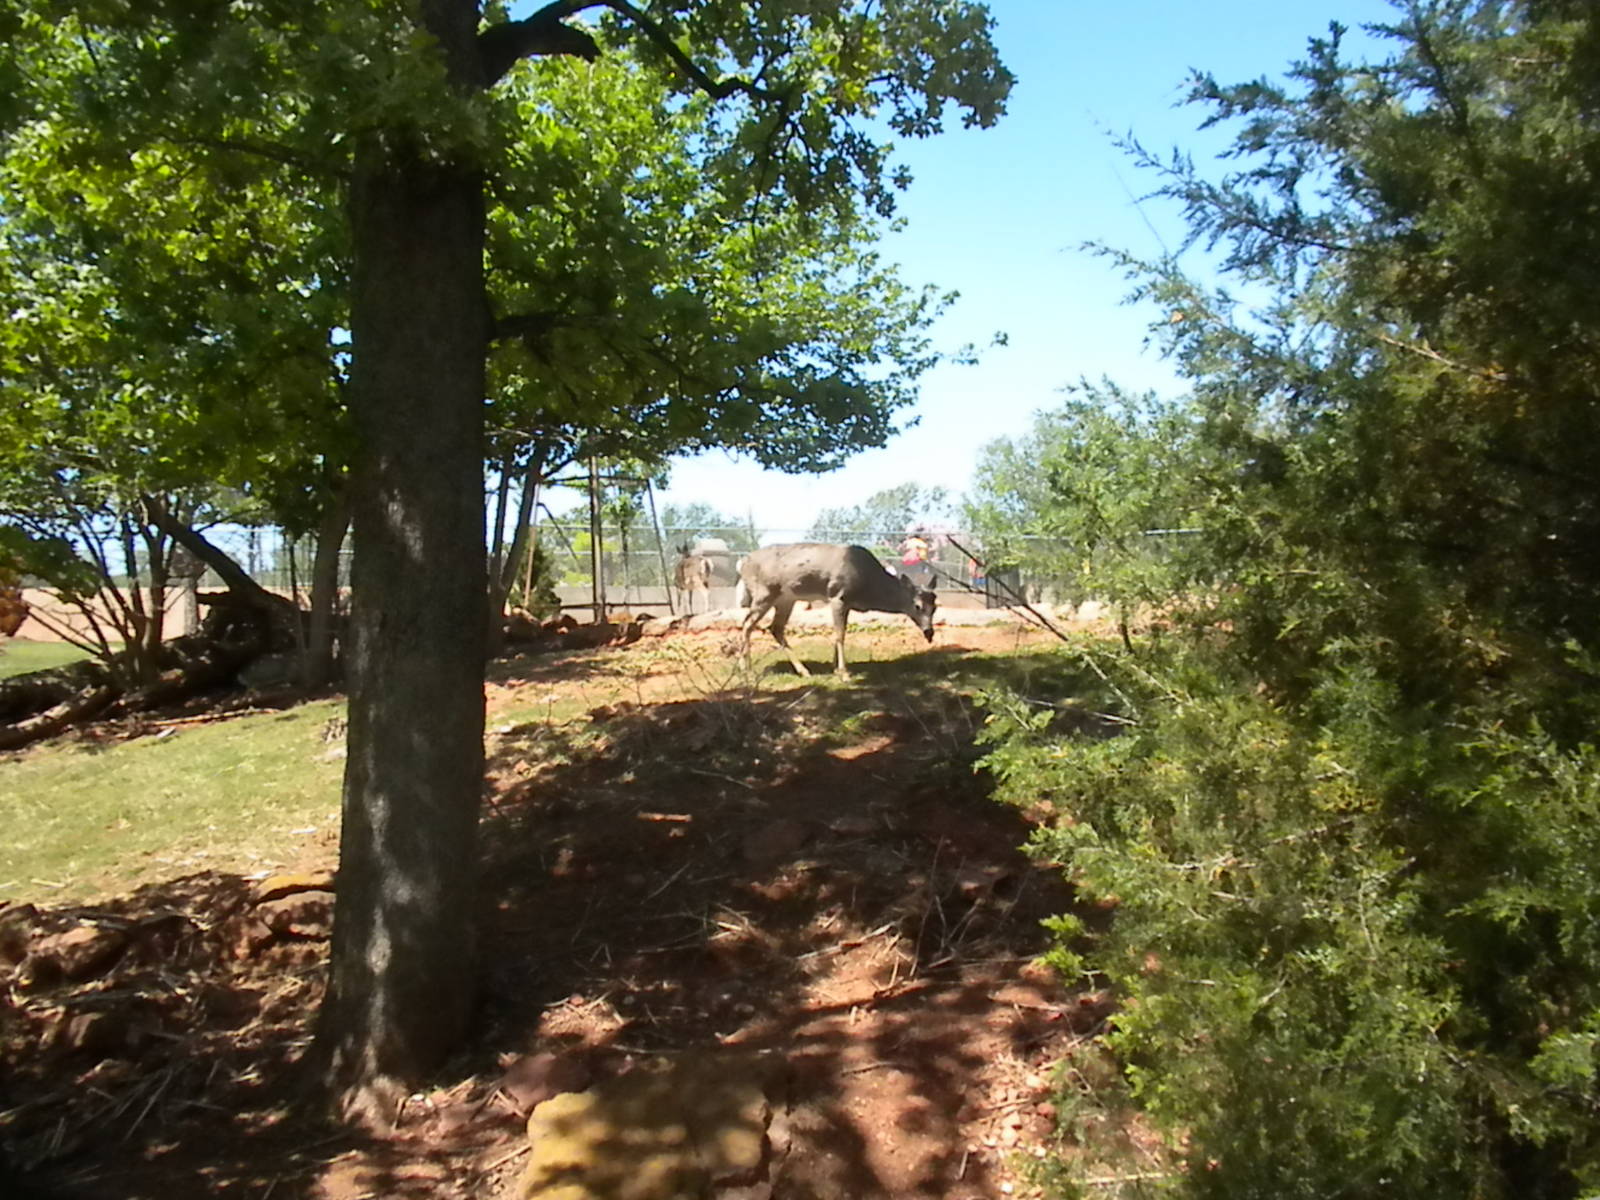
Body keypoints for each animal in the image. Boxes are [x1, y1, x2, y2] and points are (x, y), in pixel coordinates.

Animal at [736, 543, 937, 679]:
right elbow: (840, 634)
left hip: (786, 599)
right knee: (747, 624)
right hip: (764, 593)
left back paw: (803, 671)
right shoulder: (838, 596)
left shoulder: (846, 603)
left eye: (935, 606)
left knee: (775, 627)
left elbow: (838, 633)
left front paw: (835, 668)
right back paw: (747, 671)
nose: (929, 632)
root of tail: (742, 563)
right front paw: (844, 673)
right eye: (917, 605)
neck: (868, 586)